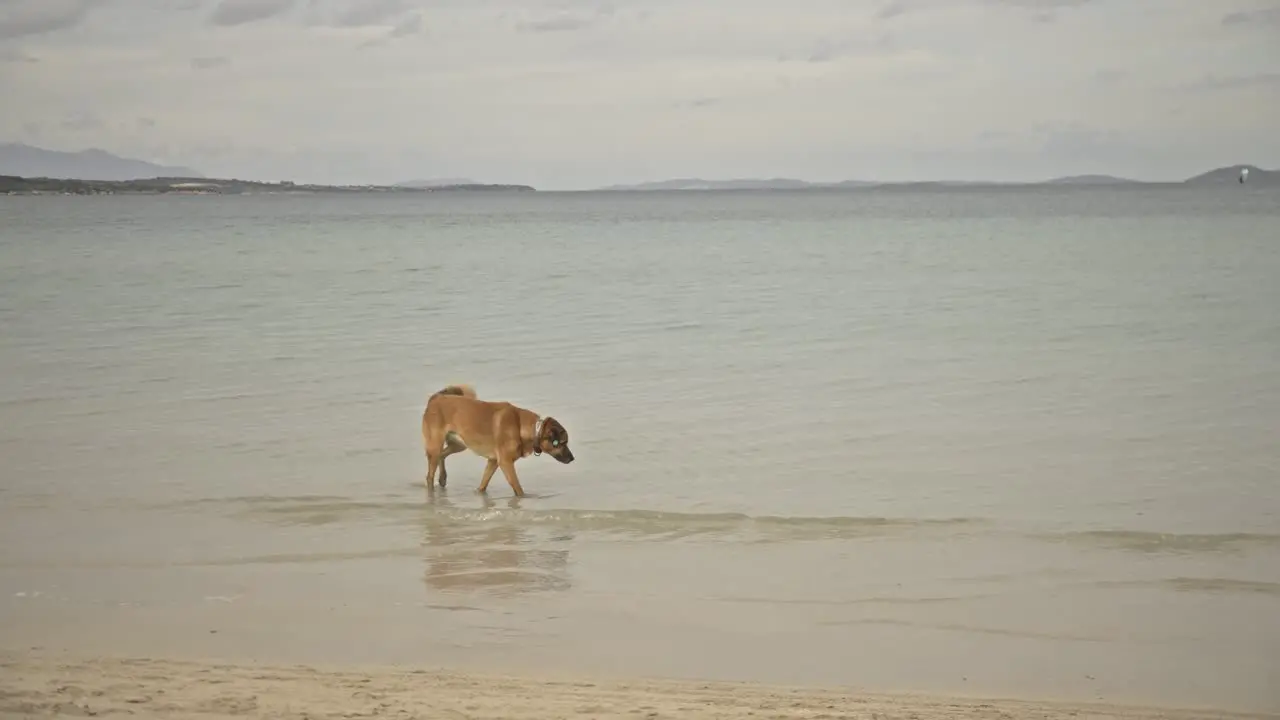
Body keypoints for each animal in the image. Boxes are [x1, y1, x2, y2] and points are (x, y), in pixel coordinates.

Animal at [419, 384, 576, 497]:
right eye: (562, 443)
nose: (572, 459)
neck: (525, 428)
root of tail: (435, 398)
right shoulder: (506, 463)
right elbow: (518, 488)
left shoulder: (493, 461)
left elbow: (483, 484)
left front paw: (479, 493)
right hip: (435, 445)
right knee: (430, 474)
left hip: (458, 445)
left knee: (442, 455)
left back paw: (443, 478)